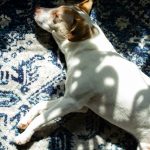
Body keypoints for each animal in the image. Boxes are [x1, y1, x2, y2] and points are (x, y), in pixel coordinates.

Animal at [13, 0, 150, 149]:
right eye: (57, 7)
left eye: (57, 15)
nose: (36, 8)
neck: (85, 47)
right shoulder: (77, 103)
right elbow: (41, 104)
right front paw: (25, 120)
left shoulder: (72, 102)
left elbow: (41, 118)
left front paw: (25, 136)